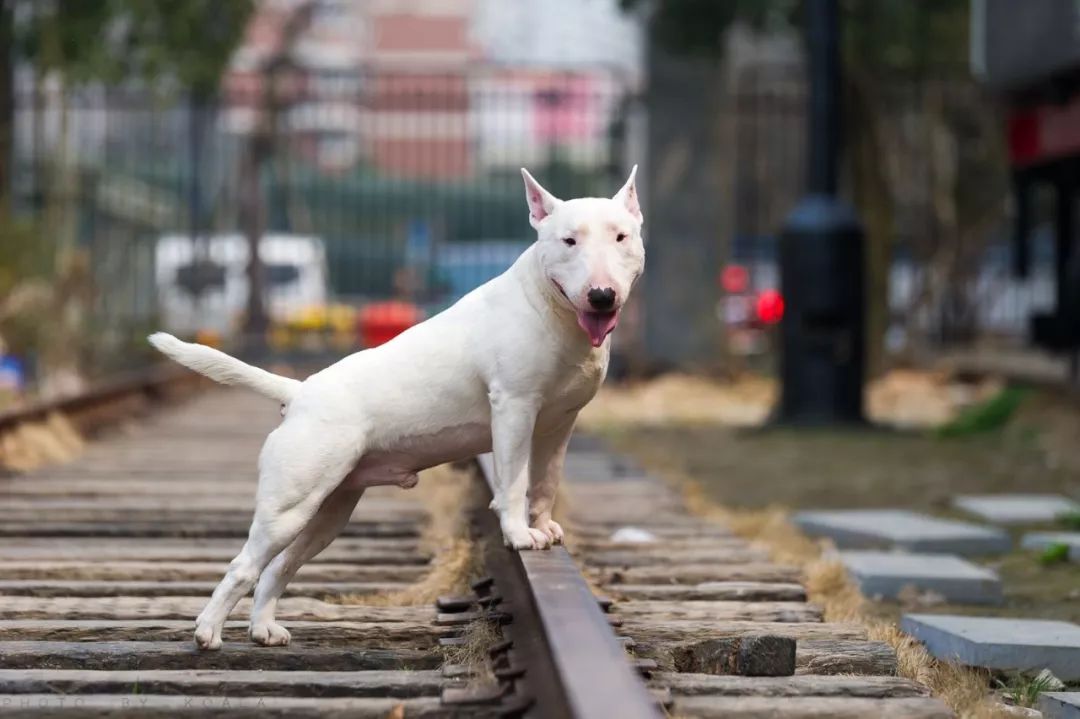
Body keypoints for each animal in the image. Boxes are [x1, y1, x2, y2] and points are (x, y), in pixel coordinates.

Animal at [147, 165, 643, 647]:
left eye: (621, 237)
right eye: (569, 240)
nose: (602, 295)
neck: (551, 308)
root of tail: (300, 391)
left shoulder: (559, 423)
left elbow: (545, 482)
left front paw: (545, 527)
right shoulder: (514, 408)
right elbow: (514, 483)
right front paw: (520, 535)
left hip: (329, 510)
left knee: (279, 566)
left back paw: (264, 629)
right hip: (288, 506)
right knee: (244, 564)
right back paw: (207, 632)